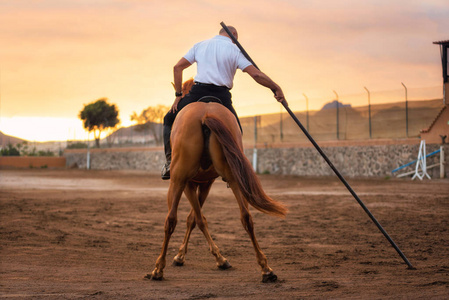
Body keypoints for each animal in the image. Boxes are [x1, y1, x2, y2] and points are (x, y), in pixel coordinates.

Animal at [147, 84, 288, 282]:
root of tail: (206, 114)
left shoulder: (189, 184)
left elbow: (197, 219)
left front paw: (184, 256)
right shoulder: (206, 184)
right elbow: (195, 219)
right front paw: (216, 258)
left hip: (177, 180)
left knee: (170, 220)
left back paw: (158, 269)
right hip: (233, 176)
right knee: (246, 217)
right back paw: (266, 269)